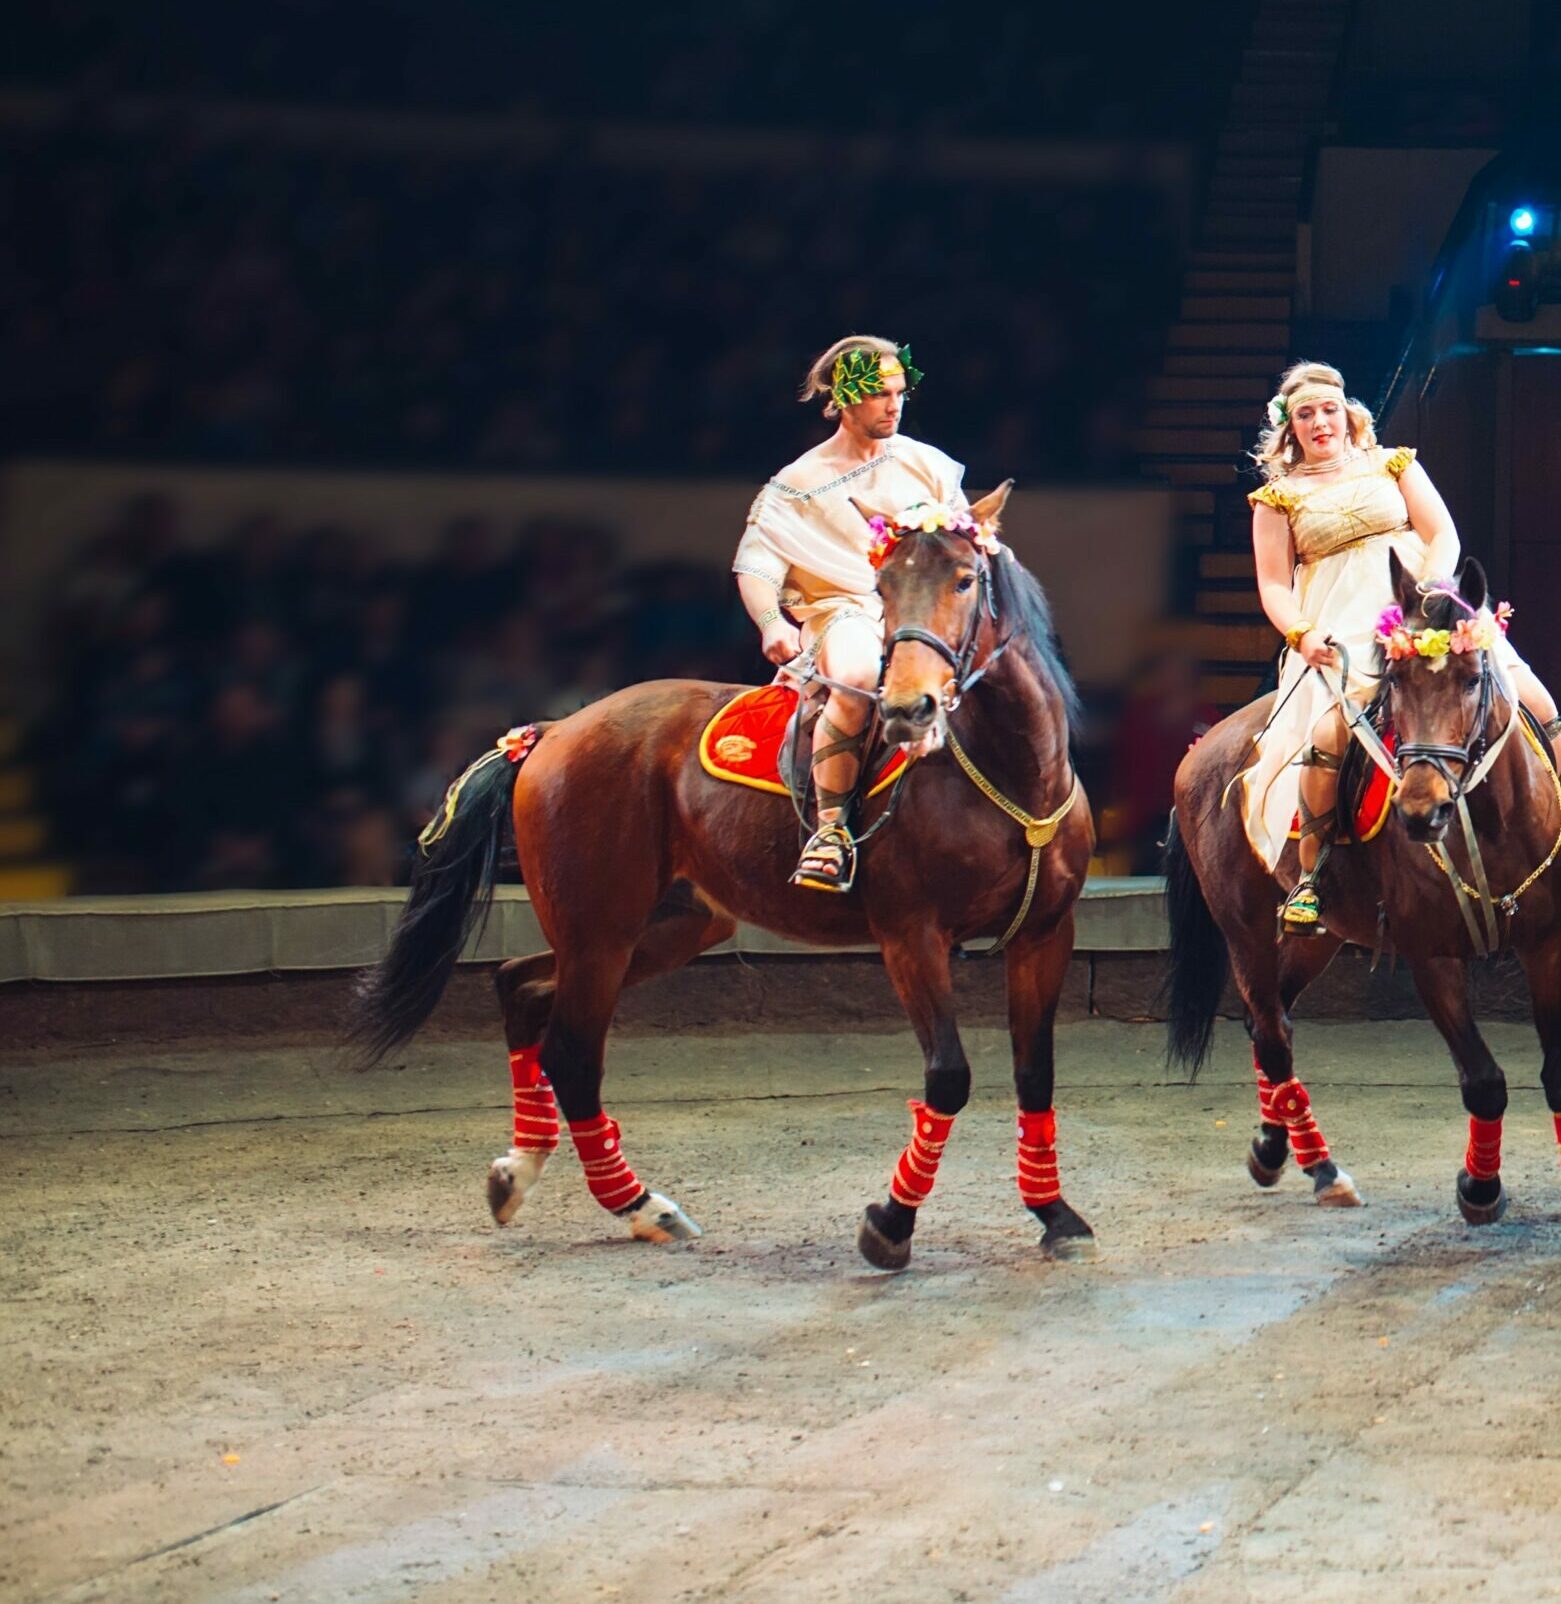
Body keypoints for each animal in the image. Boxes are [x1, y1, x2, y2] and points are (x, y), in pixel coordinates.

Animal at [346, 481, 1097, 1270]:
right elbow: (948, 1077)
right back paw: (641, 1204)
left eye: (963, 579)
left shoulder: (1045, 934)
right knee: (572, 1053)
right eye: (884, 587)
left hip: (664, 926)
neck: (1010, 777)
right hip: (600, 930)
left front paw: (1055, 1213)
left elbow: (1035, 1073)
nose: (905, 708)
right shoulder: (910, 936)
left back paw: (520, 1170)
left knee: (521, 988)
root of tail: (553, 732)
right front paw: (891, 1224)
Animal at [1167, 558, 1559, 1219]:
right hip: (1243, 927)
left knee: (1270, 1021)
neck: (1485, 821)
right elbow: (1483, 1081)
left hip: (1322, 935)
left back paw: (1277, 1145)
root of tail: (1202, 746)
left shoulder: (1548, 944)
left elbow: (1554, 1073)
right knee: (1270, 1030)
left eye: (1472, 679)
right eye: (1394, 681)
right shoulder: (1430, 953)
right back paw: (1318, 1168)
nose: (1421, 812)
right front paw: (1480, 1190)